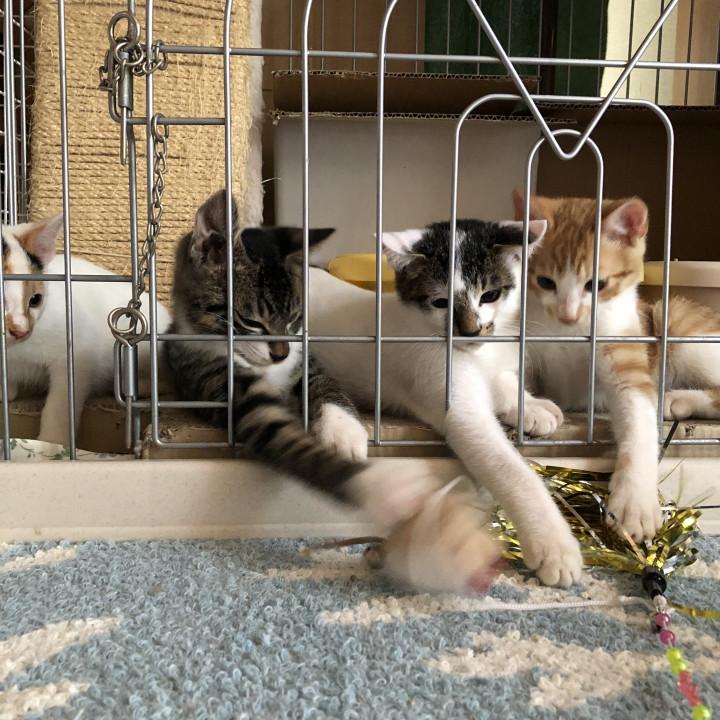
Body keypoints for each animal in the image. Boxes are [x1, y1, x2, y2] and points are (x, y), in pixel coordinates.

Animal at [164, 190, 503, 592]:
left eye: (296, 319)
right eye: (250, 322)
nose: (280, 354)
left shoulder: (307, 358)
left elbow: (326, 385)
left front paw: (344, 432)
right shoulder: (223, 386)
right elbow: (284, 437)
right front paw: (383, 485)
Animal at [309, 218, 583, 587]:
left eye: (490, 295)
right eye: (440, 302)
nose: (471, 330)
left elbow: (504, 381)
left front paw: (532, 407)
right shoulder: (452, 400)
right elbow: (511, 470)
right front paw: (555, 546)